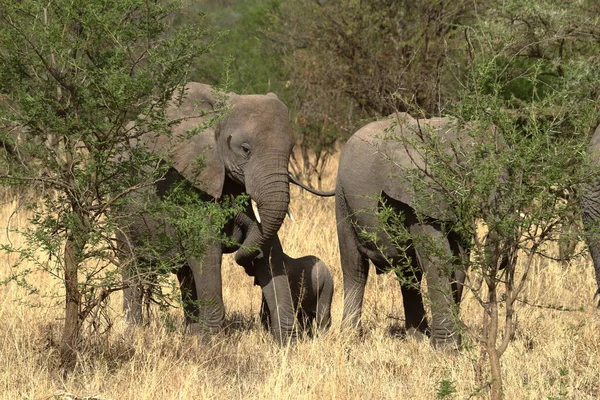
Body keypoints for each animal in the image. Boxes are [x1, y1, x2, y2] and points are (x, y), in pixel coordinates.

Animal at [119, 82, 312, 344]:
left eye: (291, 150)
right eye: (245, 149)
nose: (248, 267)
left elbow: (271, 251)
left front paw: (286, 344)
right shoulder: (189, 180)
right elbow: (206, 253)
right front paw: (212, 346)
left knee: (186, 273)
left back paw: (190, 333)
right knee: (131, 264)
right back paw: (135, 332)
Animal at [336, 111, 504, 346]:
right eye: (478, 164)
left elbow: (459, 258)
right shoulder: (416, 191)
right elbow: (437, 258)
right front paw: (447, 348)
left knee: (409, 272)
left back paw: (416, 337)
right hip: (342, 199)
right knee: (355, 267)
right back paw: (350, 338)